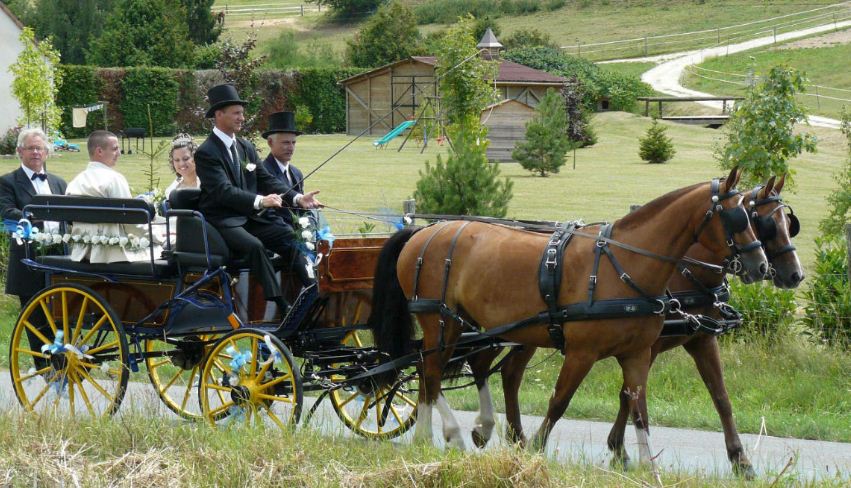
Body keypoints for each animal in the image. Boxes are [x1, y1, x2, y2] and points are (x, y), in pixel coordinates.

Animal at [370, 168, 768, 462]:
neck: (625, 265)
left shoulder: (638, 353)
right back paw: (443, 434)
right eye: (737, 216)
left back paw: (456, 431)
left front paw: (644, 465)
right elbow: (560, 401)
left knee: (451, 369)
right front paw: (535, 451)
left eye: (753, 216)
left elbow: (639, 407)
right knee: (431, 370)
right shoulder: (581, 352)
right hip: (443, 322)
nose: (761, 265)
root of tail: (422, 232)